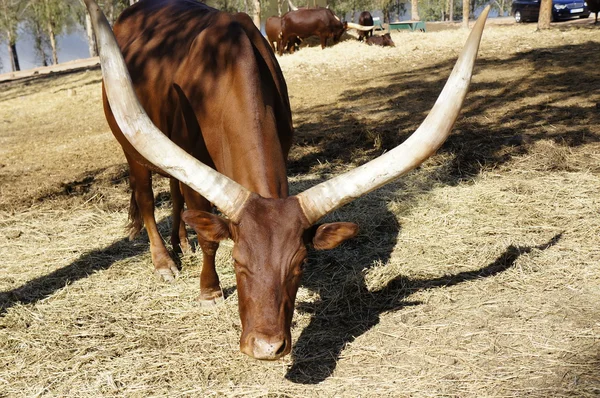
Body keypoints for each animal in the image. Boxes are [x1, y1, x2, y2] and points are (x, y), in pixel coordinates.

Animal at [84, 0, 490, 360]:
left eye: (300, 264)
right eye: (238, 263)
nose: (266, 348)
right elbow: (209, 236)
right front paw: (209, 290)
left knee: (172, 192)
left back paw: (180, 241)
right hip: (131, 150)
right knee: (148, 198)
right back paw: (165, 261)